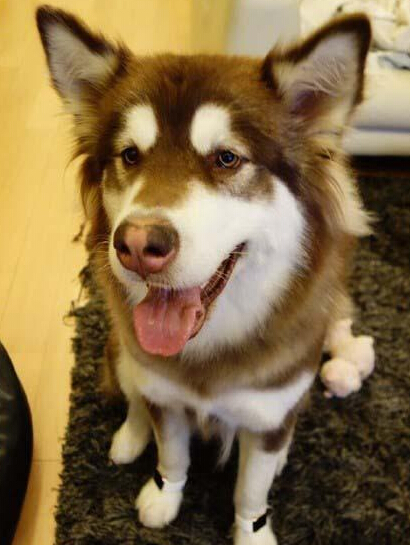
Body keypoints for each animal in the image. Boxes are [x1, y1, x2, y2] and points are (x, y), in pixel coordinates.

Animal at [37, 6, 374, 540]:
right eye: (130, 155)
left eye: (227, 158)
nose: (137, 246)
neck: (209, 350)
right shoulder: (166, 396)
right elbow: (171, 454)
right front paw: (163, 496)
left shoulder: (269, 411)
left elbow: (251, 491)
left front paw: (253, 529)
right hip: (122, 349)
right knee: (134, 394)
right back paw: (130, 436)